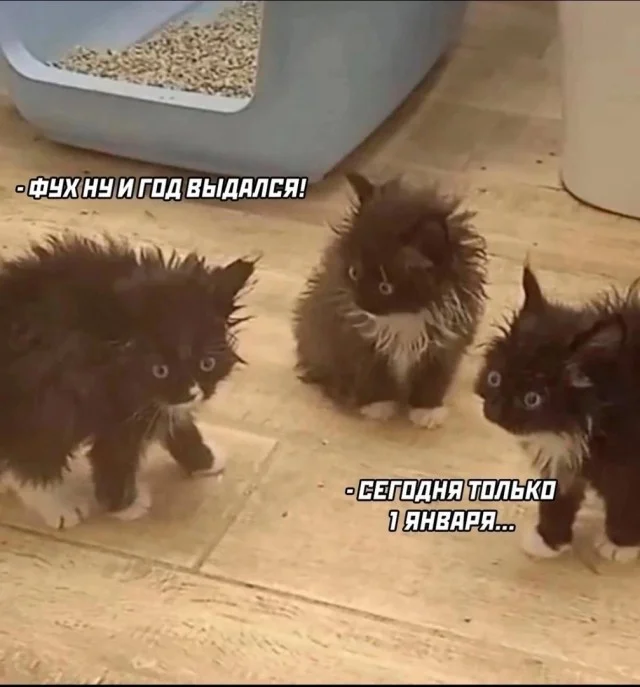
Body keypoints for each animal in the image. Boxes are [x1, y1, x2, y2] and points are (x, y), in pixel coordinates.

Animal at [0, 233, 256, 530]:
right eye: (160, 370)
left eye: (207, 363)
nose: (193, 393)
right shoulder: (105, 399)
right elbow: (114, 452)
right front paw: (125, 505)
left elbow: (176, 423)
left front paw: (205, 460)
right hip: (45, 399)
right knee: (32, 454)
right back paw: (60, 506)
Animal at [293, 172, 487, 428]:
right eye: (354, 272)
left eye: (386, 288)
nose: (360, 303)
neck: (404, 318)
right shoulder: (359, 340)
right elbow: (374, 376)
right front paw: (378, 406)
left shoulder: (446, 343)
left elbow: (433, 380)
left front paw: (427, 410)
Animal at [475, 263, 640, 563]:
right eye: (495, 378)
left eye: (532, 399)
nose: (494, 410)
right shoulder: (563, 458)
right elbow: (558, 500)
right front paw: (548, 539)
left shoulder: (629, 462)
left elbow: (626, 499)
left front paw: (620, 544)